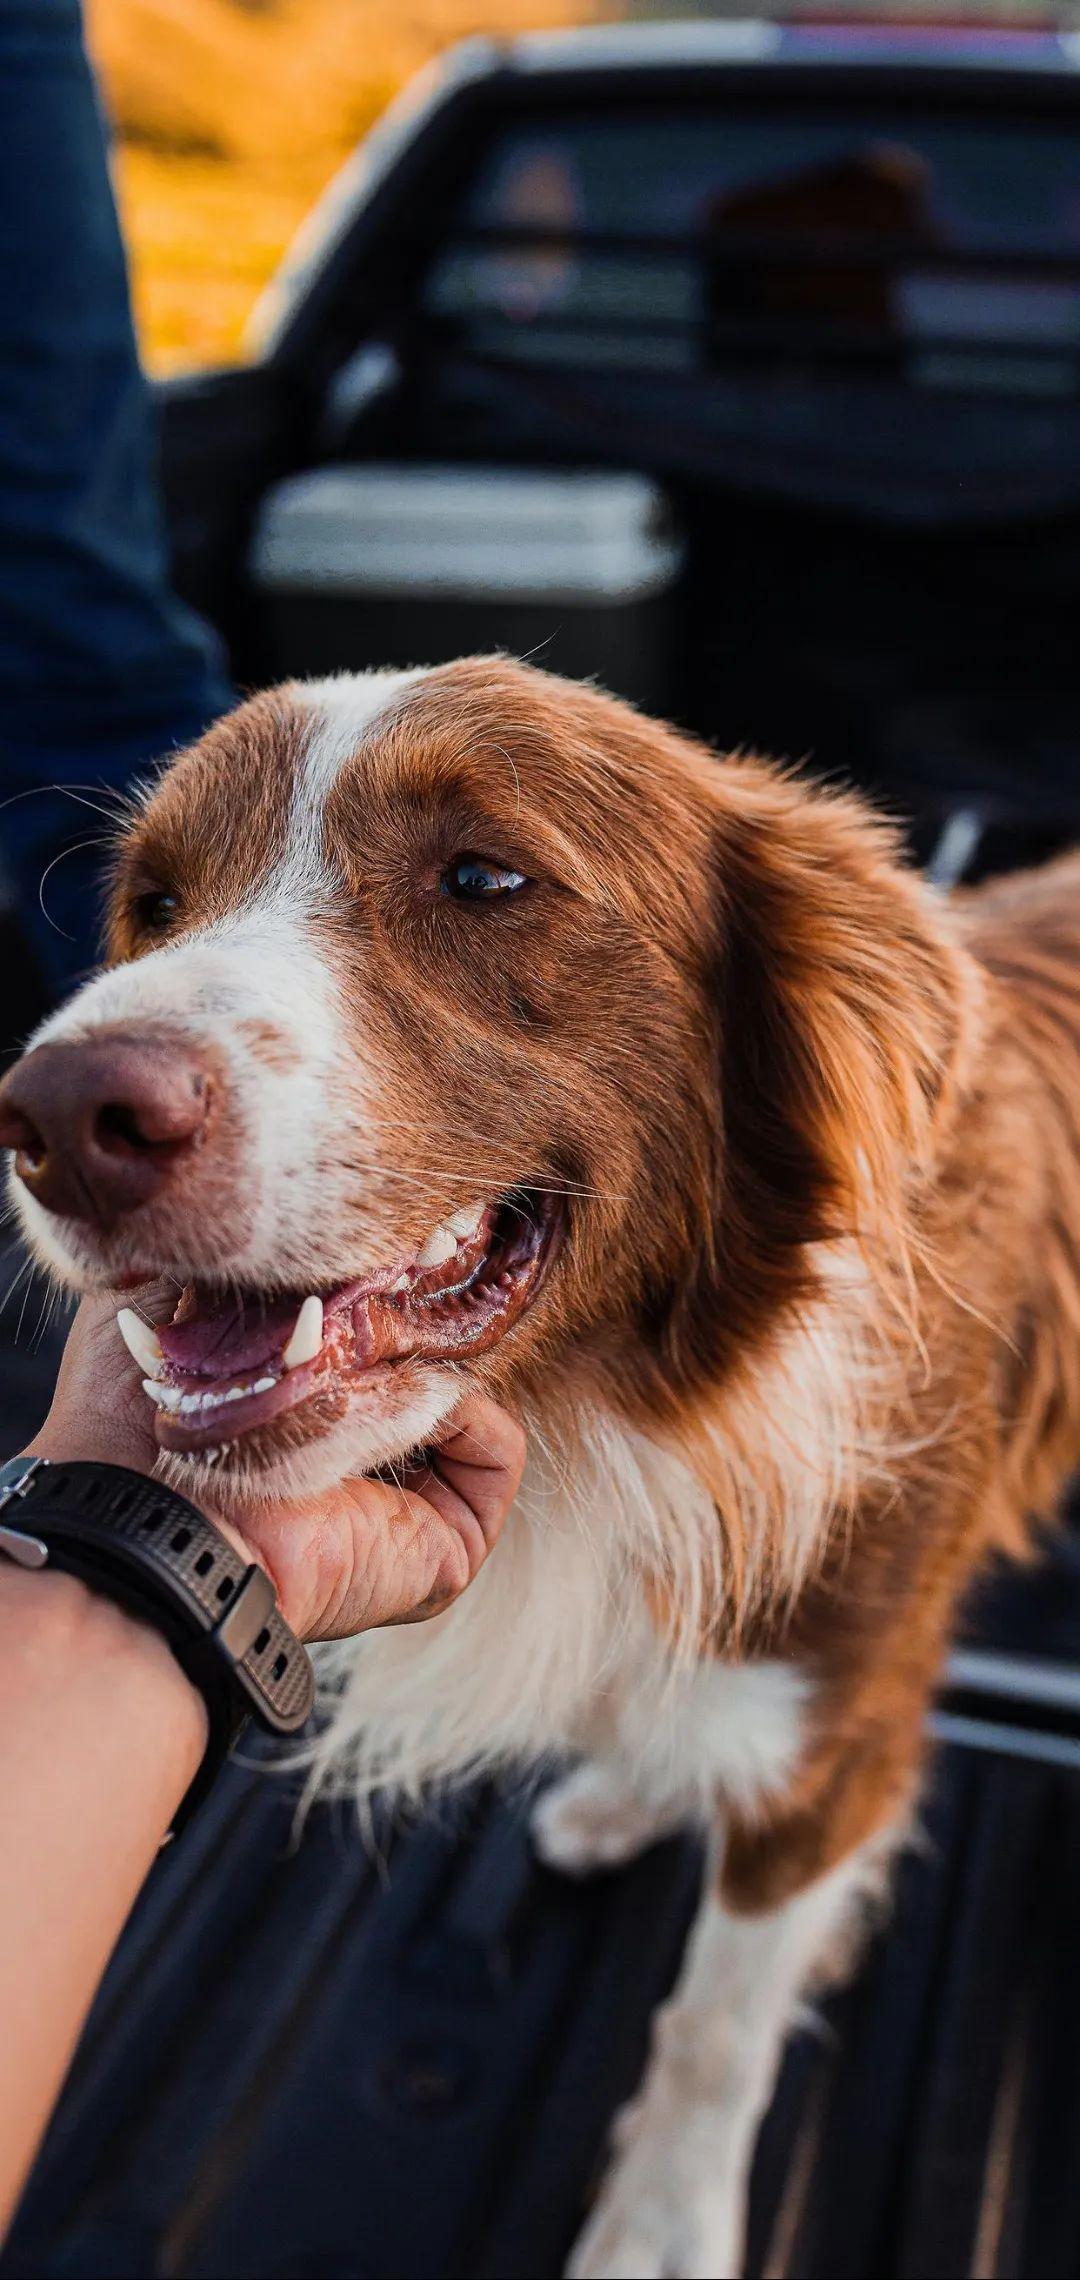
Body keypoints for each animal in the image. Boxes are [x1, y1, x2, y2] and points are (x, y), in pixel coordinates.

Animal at [2, 652, 1080, 2270]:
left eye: (486, 877)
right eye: (155, 902)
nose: (59, 1121)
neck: (623, 1405)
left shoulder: (846, 1727)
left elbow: (714, 2031)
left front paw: (661, 2226)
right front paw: (635, 1789)